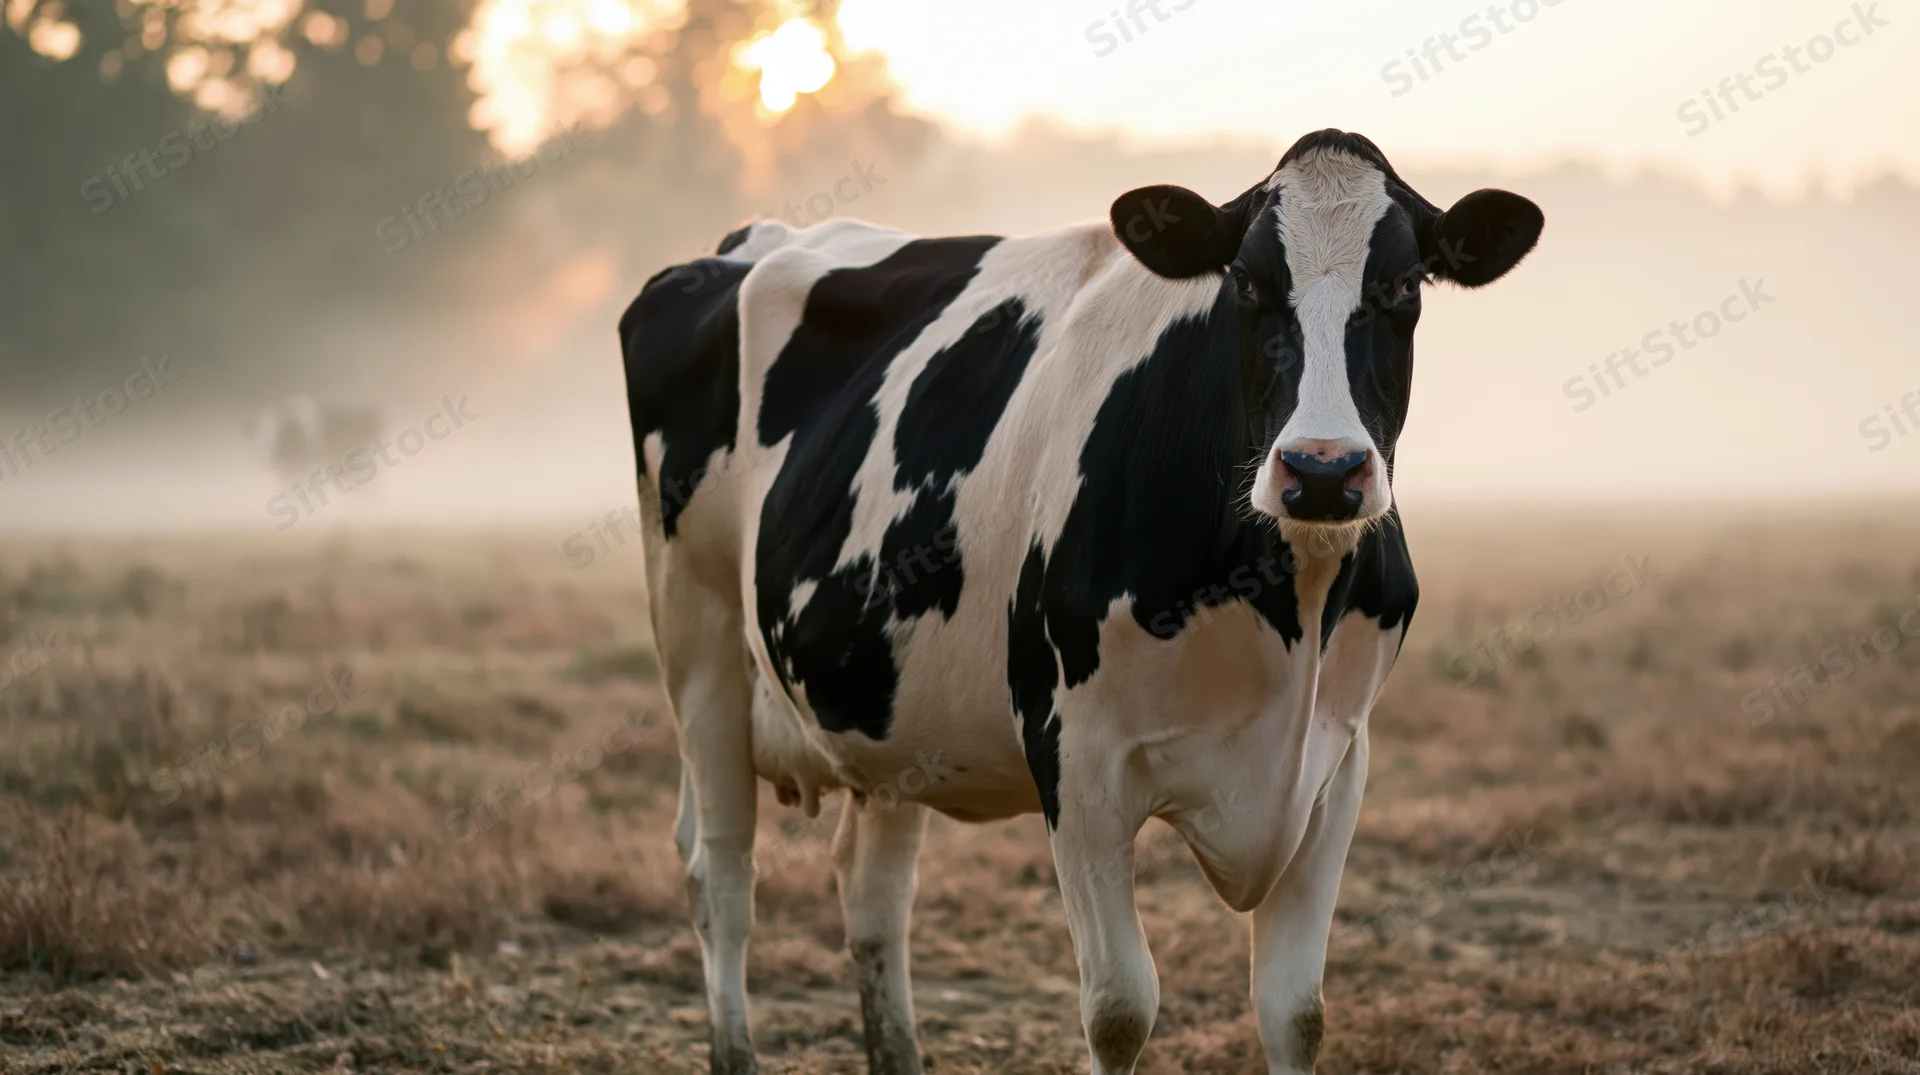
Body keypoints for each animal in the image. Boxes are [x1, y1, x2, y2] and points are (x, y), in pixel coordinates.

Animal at [618, 129, 1543, 1074]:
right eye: (1247, 283)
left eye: (1404, 286)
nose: (1323, 469)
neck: (1289, 609)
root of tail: (752, 238)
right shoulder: (1076, 757)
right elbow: (1120, 1008)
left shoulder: (1336, 763)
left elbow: (1296, 1010)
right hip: (699, 641)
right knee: (721, 872)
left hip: (887, 704)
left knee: (872, 893)